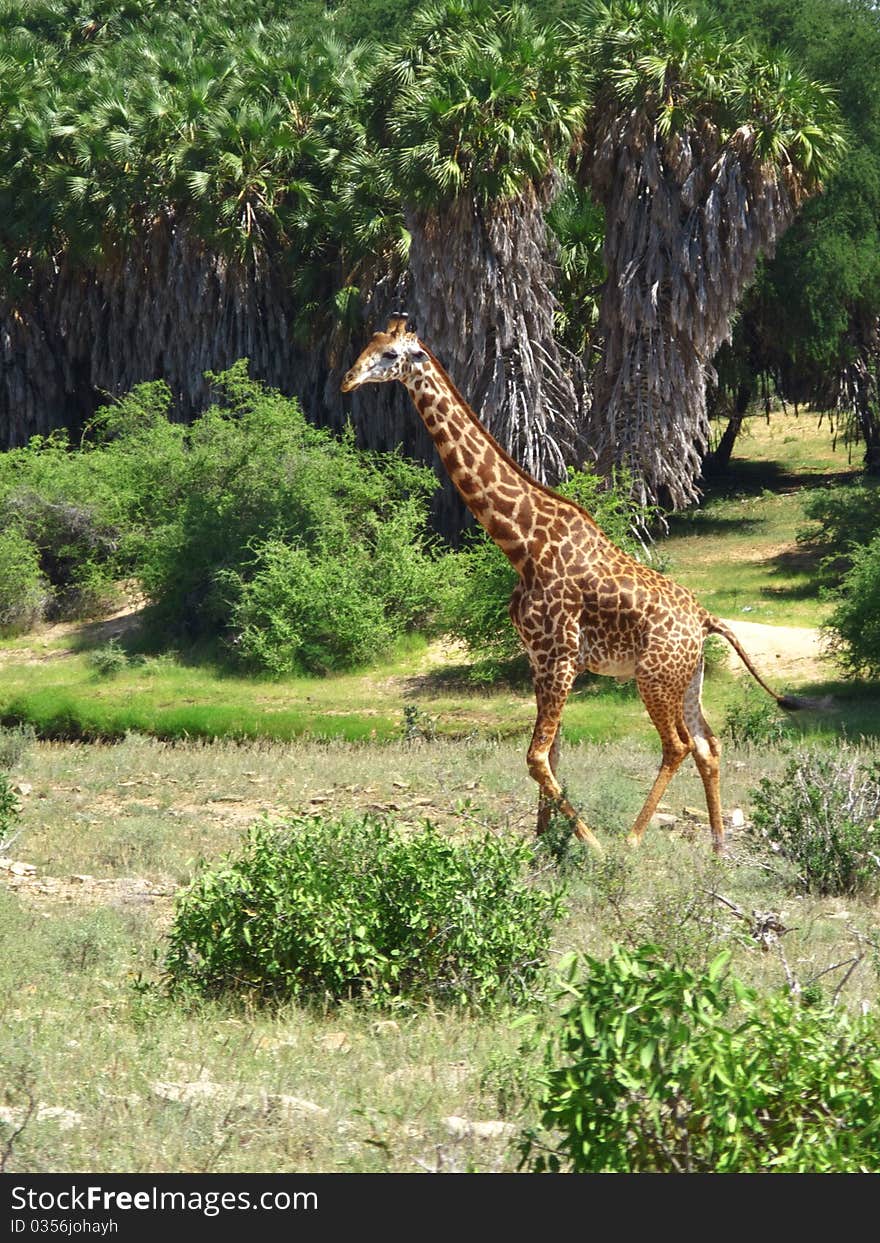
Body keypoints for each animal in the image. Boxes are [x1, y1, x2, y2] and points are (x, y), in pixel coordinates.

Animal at [340, 313, 805, 855]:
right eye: (368, 345)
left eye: (391, 355)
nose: (347, 379)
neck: (521, 543)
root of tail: (705, 619)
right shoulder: (539, 658)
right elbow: (554, 753)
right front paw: (543, 844)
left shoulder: (559, 657)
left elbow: (536, 757)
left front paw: (587, 844)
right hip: (688, 678)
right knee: (709, 744)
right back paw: (716, 847)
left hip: (652, 677)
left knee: (678, 745)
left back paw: (630, 840)